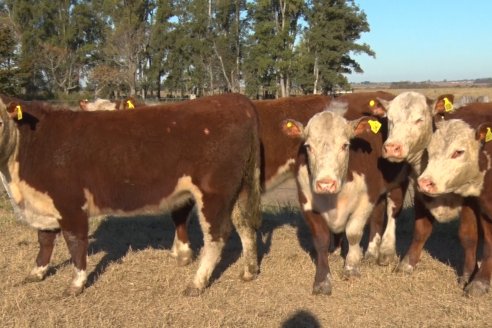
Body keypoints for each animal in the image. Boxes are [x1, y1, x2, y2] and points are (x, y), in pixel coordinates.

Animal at [0, 93, 262, 296]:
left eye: (0, 121)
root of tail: (236, 100)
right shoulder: (43, 204)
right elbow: (45, 240)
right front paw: (37, 272)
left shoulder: (71, 204)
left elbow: (75, 244)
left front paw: (76, 284)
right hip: (239, 189)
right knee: (244, 225)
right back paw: (249, 271)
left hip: (214, 193)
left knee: (217, 235)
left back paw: (197, 283)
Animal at [278, 102, 410, 294]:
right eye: (308, 146)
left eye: (345, 145)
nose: (325, 183)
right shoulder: (307, 203)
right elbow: (321, 239)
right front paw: (322, 279)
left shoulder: (365, 200)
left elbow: (353, 233)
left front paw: (351, 267)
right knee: (377, 217)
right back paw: (370, 252)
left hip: (398, 182)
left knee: (392, 212)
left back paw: (385, 252)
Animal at [374, 91, 490, 296]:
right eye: (390, 119)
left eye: (419, 119)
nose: (392, 147)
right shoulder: (420, 193)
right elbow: (421, 230)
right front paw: (407, 263)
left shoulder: (470, 200)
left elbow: (468, 236)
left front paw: (470, 276)